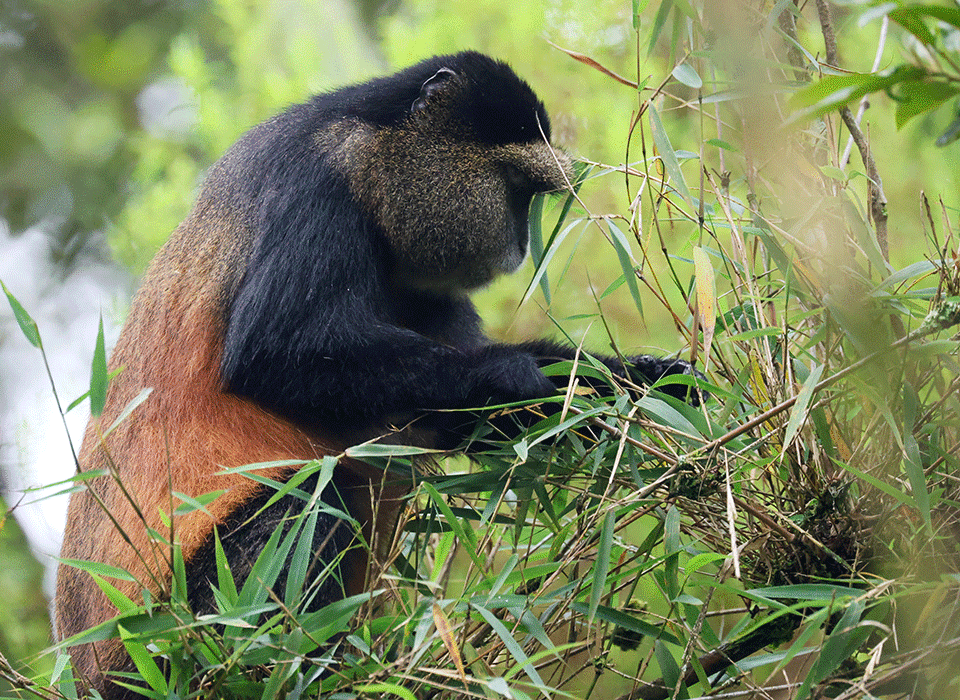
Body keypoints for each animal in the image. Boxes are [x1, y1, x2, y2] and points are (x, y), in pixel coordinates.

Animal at [54, 51, 703, 699]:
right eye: (516, 190)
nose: (521, 243)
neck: (373, 156)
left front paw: (641, 381)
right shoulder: (315, 186)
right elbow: (275, 354)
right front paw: (512, 374)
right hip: (171, 633)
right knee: (316, 501)